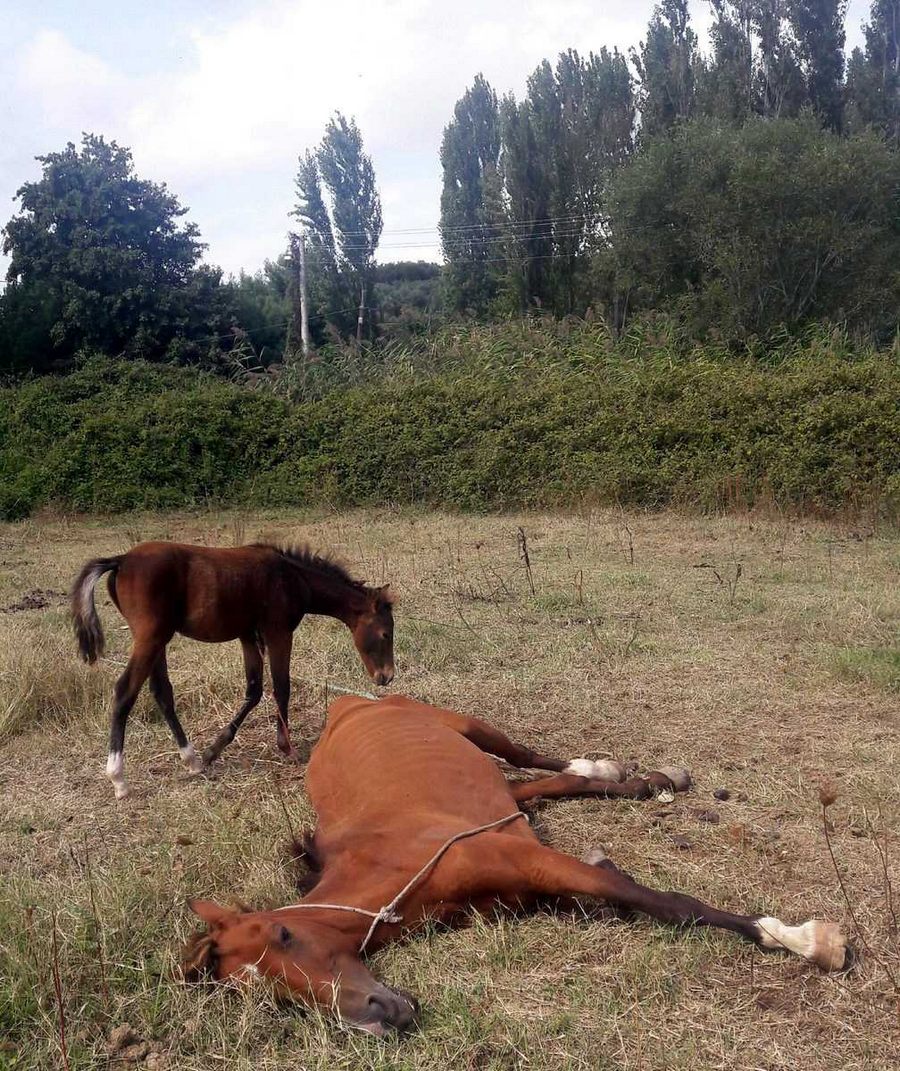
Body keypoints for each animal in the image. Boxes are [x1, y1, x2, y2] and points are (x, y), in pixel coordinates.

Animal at [70, 539, 394, 801]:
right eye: (385, 633)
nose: (387, 676)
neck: (293, 577)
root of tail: (121, 559)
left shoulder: (248, 635)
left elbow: (254, 690)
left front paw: (214, 750)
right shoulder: (278, 633)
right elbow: (281, 687)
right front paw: (287, 748)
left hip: (157, 640)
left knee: (162, 693)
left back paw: (192, 760)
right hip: (149, 639)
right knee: (125, 691)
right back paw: (119, 779)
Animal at [186, 694, 848, 1036]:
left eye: (283, 933)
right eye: (271, 999)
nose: (377, 1015)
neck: (391, 860)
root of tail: (347, 703)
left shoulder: (529, 858)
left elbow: (668, 903)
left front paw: (806, 940)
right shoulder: (531, 885)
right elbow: (618, 888)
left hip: (471, 727)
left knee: (531, 758)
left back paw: (614, 767)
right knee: (537, 787)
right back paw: (638, 780)